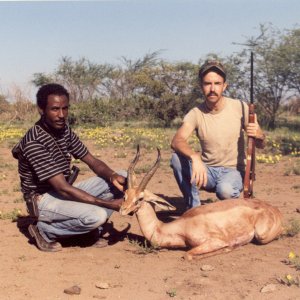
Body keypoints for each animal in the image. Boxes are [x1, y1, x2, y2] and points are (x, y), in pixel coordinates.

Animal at [119, 146, 284, 258]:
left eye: (140, 198)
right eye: (125, 194)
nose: (122, 210)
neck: (177, 227)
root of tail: (274, 209)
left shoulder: (215, 241)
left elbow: (188, 255)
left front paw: (232, 247)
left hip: (261, 235)